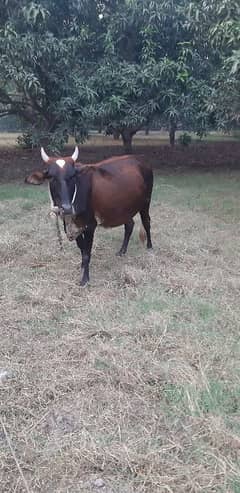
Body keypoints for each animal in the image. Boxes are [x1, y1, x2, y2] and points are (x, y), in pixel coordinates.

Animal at [26, 146, 153, 284]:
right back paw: (122, 251)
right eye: (51, 177)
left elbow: (87, 252)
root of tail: (140, 159)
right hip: (124, 209)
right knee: (129, 225)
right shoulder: (73, 225)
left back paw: (149, 247)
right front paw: (82, 266)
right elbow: (82, 249)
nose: (66, 208)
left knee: (146, 222)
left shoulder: (90, 225)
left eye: (72, 176)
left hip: (146, 202)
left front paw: (85, 278)